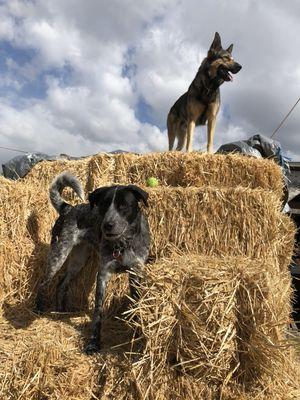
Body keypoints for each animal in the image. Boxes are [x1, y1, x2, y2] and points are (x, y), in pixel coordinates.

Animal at [35, 172, 150, 354]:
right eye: (103, 206)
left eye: (123, 205)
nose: (107, 225)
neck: (122, 244)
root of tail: (68, 208)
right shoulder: (103, 274)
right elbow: (98, 311)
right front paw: (93, 343)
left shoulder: (136, 272)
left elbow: (136, 303)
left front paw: (138, 330)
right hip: (58, 254)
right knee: (44, 283)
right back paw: (39, 308)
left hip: (78, 260)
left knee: (61, 284)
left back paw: (60, 312)